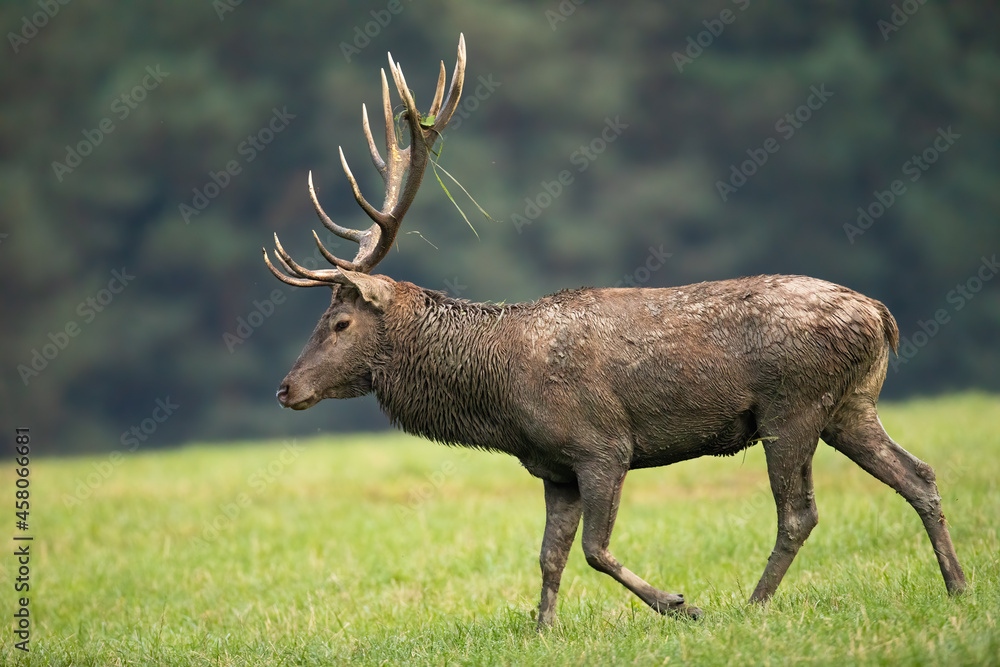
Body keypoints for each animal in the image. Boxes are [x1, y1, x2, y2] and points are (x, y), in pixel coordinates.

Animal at [263, 35, 966, 629]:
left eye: (340, 321)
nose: (286, 388)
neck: (500, 402)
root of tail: (882, 315)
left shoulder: (602, 445)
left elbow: (596, 550)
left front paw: (680, 604)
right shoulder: (553, 468)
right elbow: (549, 556)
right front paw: (542, 630)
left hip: (791, 406)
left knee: (799, 511)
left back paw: (752, 605)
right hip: (850, 403)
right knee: (918, 475)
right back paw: (958, 585)